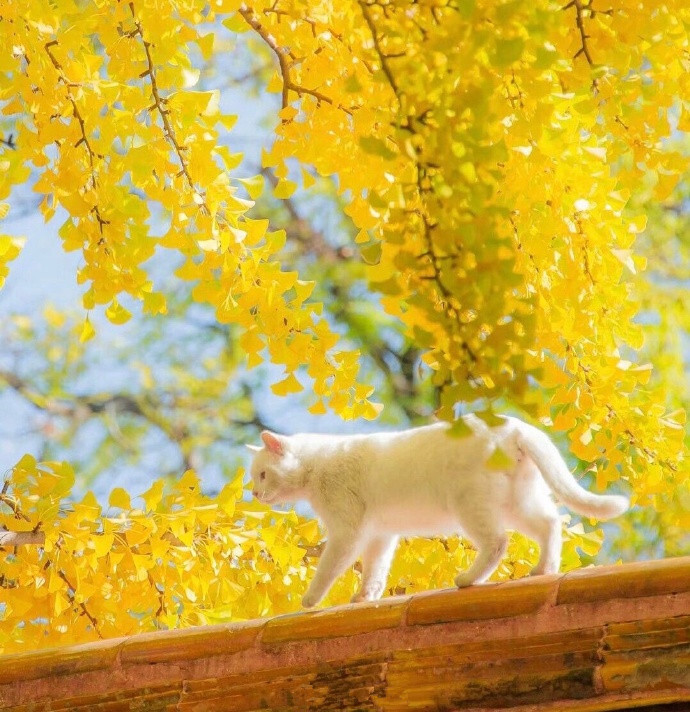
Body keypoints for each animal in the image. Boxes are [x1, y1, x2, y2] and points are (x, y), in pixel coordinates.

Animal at [246, 418, 624, 608]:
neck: (317, 466)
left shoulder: (346, 532)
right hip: (517, 502)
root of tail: (514, 426)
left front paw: (310, 600)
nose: (254, 493)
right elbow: (375, 570)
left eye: (262, 474)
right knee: (550, 524)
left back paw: (468, 579)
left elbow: (328, 569)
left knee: (497, 542)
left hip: (470, 504)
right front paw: (365, 597)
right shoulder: (380, 534)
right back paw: (544, 569)